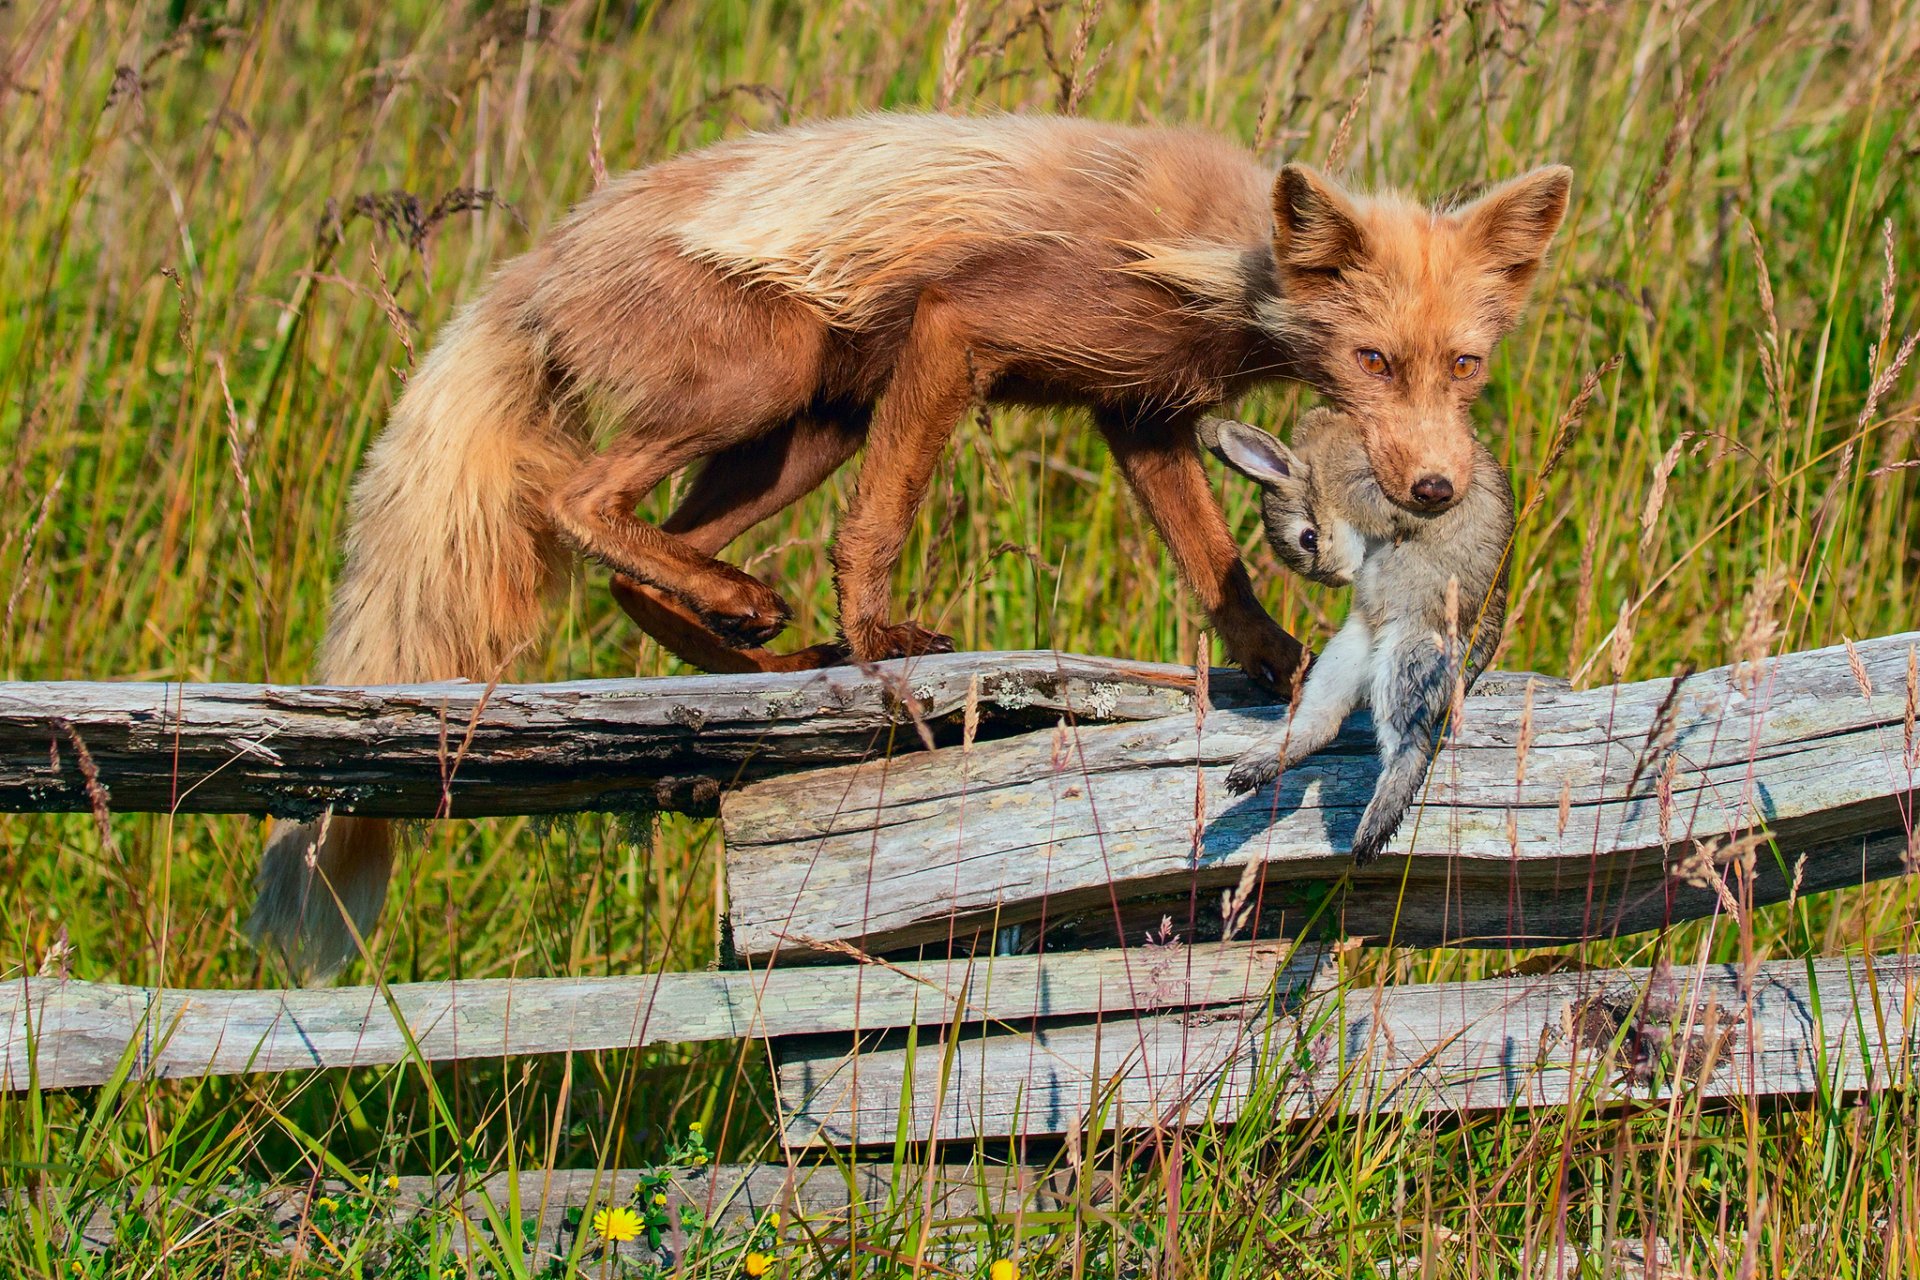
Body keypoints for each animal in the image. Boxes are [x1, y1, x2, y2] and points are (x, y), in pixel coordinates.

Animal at [1203, 407, 1514, 863]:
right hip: (1346, 655)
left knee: (1408, 749)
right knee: (1322, 724)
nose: (1338, 578)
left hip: (1408, 658)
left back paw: (1371, 833)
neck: (1320, 471)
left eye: (1308, 538)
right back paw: (1250, 771)